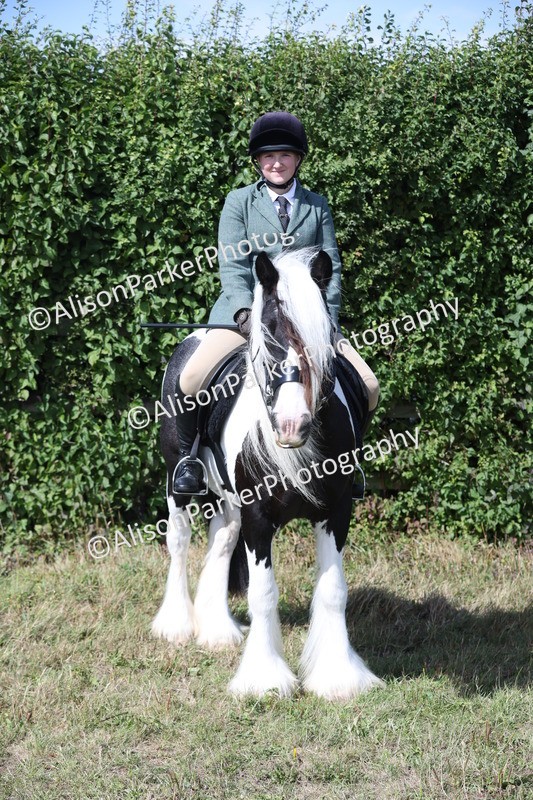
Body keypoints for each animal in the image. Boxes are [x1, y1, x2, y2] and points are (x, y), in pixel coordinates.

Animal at [152, 247, 384, 699]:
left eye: (323, 339)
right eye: (269, 338)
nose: (292, 425)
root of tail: (194, 336)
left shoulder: (337, 512)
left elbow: (333, 590)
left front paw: (338, 677)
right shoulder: (258, 518)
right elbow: (262, 593)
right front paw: (264, 679)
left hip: (228, 500)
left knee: (222, 540)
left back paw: (217, 630)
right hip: (178, 481)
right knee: (180, 540)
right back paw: (176, 625)